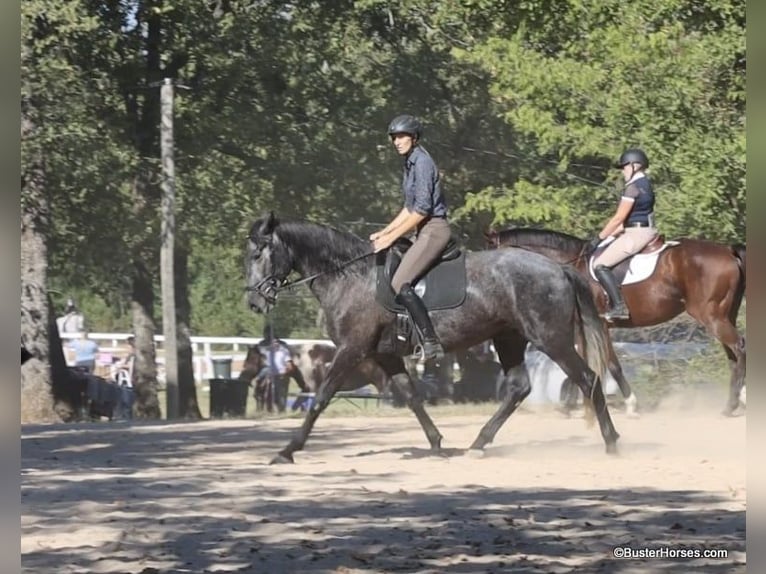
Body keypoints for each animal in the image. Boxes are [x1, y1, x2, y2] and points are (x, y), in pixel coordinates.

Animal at [245, 212, 620, 463]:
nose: (254, 302)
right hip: (509, 338)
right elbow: (411, 395)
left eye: (258, 254)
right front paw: (437, 443)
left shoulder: (352, 350)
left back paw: (612, 442)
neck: (350, 276)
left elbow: (321, 397)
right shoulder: (385, 355)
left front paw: (288, 450)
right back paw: (478, 444)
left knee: (588, 379)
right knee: (519, 387)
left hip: (551, 340)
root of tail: (559, 269)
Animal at [485, 228, 746, 415]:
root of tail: (728, 250)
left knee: (738, 346)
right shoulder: (586, 328)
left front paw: (629, 404)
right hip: (723, 315)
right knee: (733, 355)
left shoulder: (598, 325)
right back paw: (735, 401)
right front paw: (573, 402)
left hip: (711, 316)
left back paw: (734, 403)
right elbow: (583, 361)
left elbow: (608, 364)